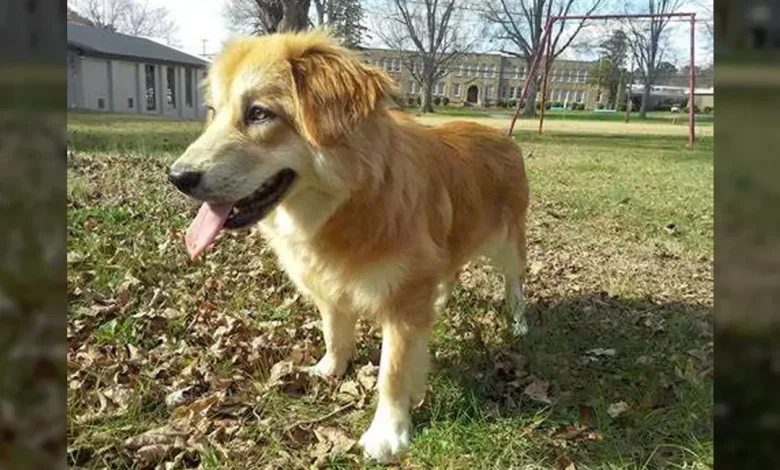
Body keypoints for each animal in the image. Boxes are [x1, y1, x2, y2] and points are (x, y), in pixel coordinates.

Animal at [168, 30, 530, 464]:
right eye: (212, 110)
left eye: (258, 113)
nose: (177, 177)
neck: (348, 203)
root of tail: (504, 135)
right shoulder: (330, 286)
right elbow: (335, 334)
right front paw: (329, 370)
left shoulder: (403, 302)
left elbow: (392, 372)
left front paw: (388, 432)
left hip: (507, 243)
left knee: (515, 283)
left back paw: (519, 321)